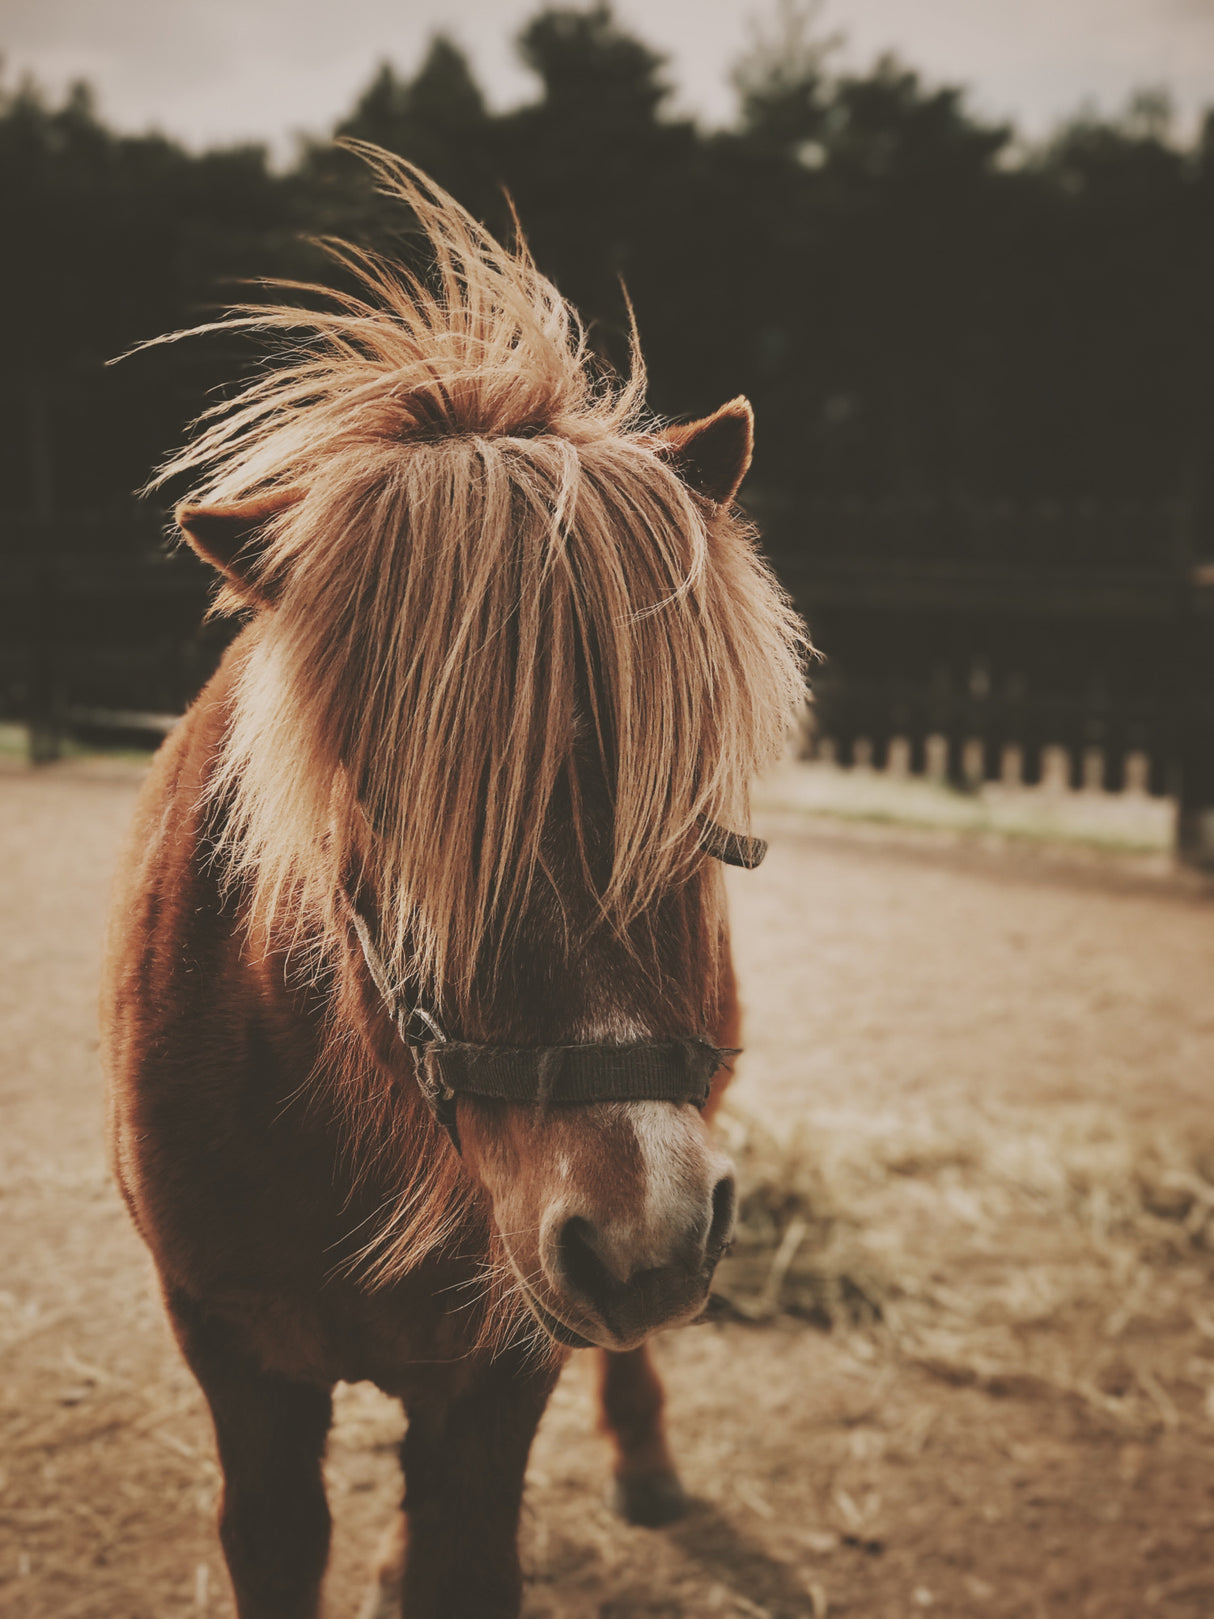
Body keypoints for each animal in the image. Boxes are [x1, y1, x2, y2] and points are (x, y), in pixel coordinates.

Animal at [101, 144, 807, 1619]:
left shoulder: (500, 1371)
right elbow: (279, 1538)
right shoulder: (238, 1364)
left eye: (685, 792)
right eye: (385, 804)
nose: (640, 1228)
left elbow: (462, 1550)